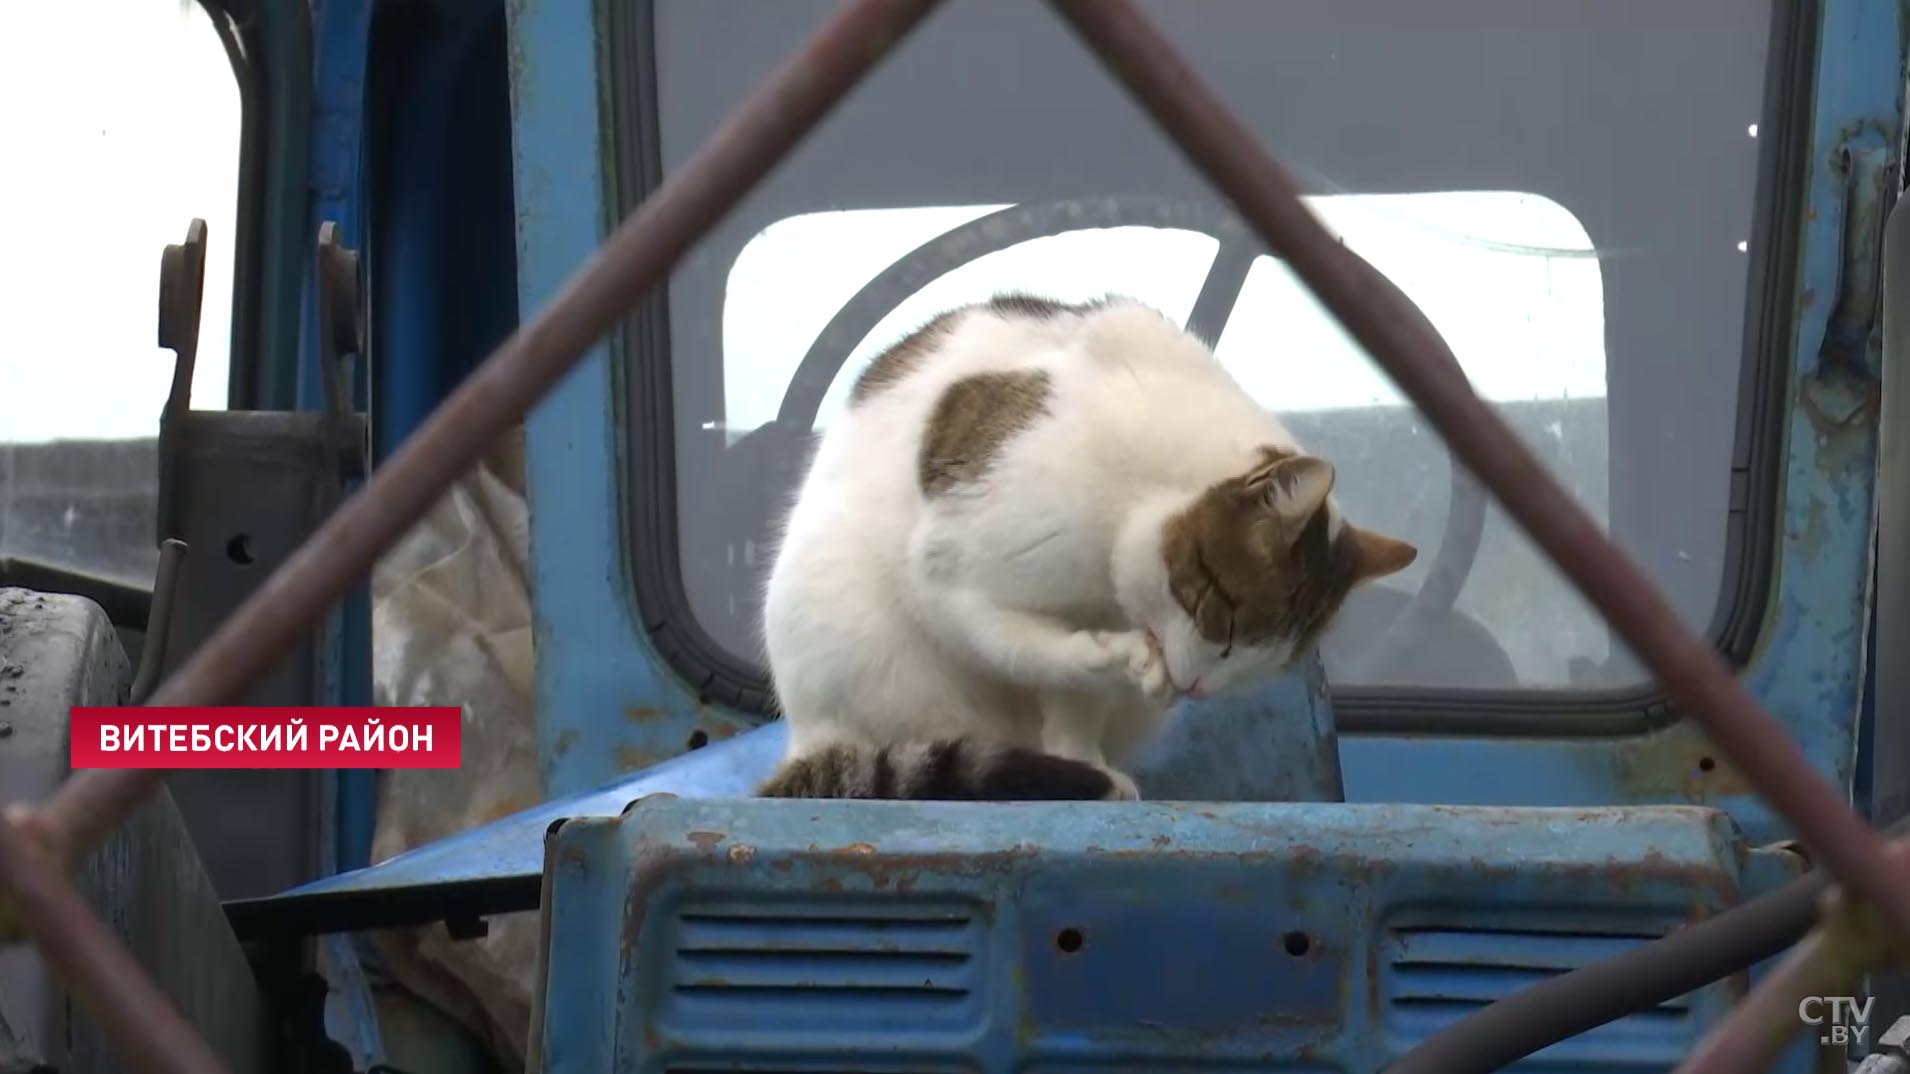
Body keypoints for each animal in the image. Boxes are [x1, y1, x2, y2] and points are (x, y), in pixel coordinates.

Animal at [752, 290, 1413, 794]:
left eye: (1269, 664)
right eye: (1223, 620)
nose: (1197, 690)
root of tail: (804, 738)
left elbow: (1075, 704)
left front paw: (1085, 763)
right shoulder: (951, 579)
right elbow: (1033, 649)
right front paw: (1115, 657)